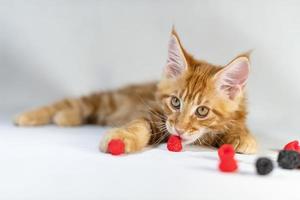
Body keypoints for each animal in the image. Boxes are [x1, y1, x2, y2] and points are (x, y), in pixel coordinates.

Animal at [14, 28, 258, 154]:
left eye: (202, 111)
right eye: (175, 102)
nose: (179, 129)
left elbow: (238, 126)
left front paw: (243, 138)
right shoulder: (152, 114)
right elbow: (139, 126)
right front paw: (121, 138)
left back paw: (66, 118)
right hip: (109, 100)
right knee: (75, 102)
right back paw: (29, 116)